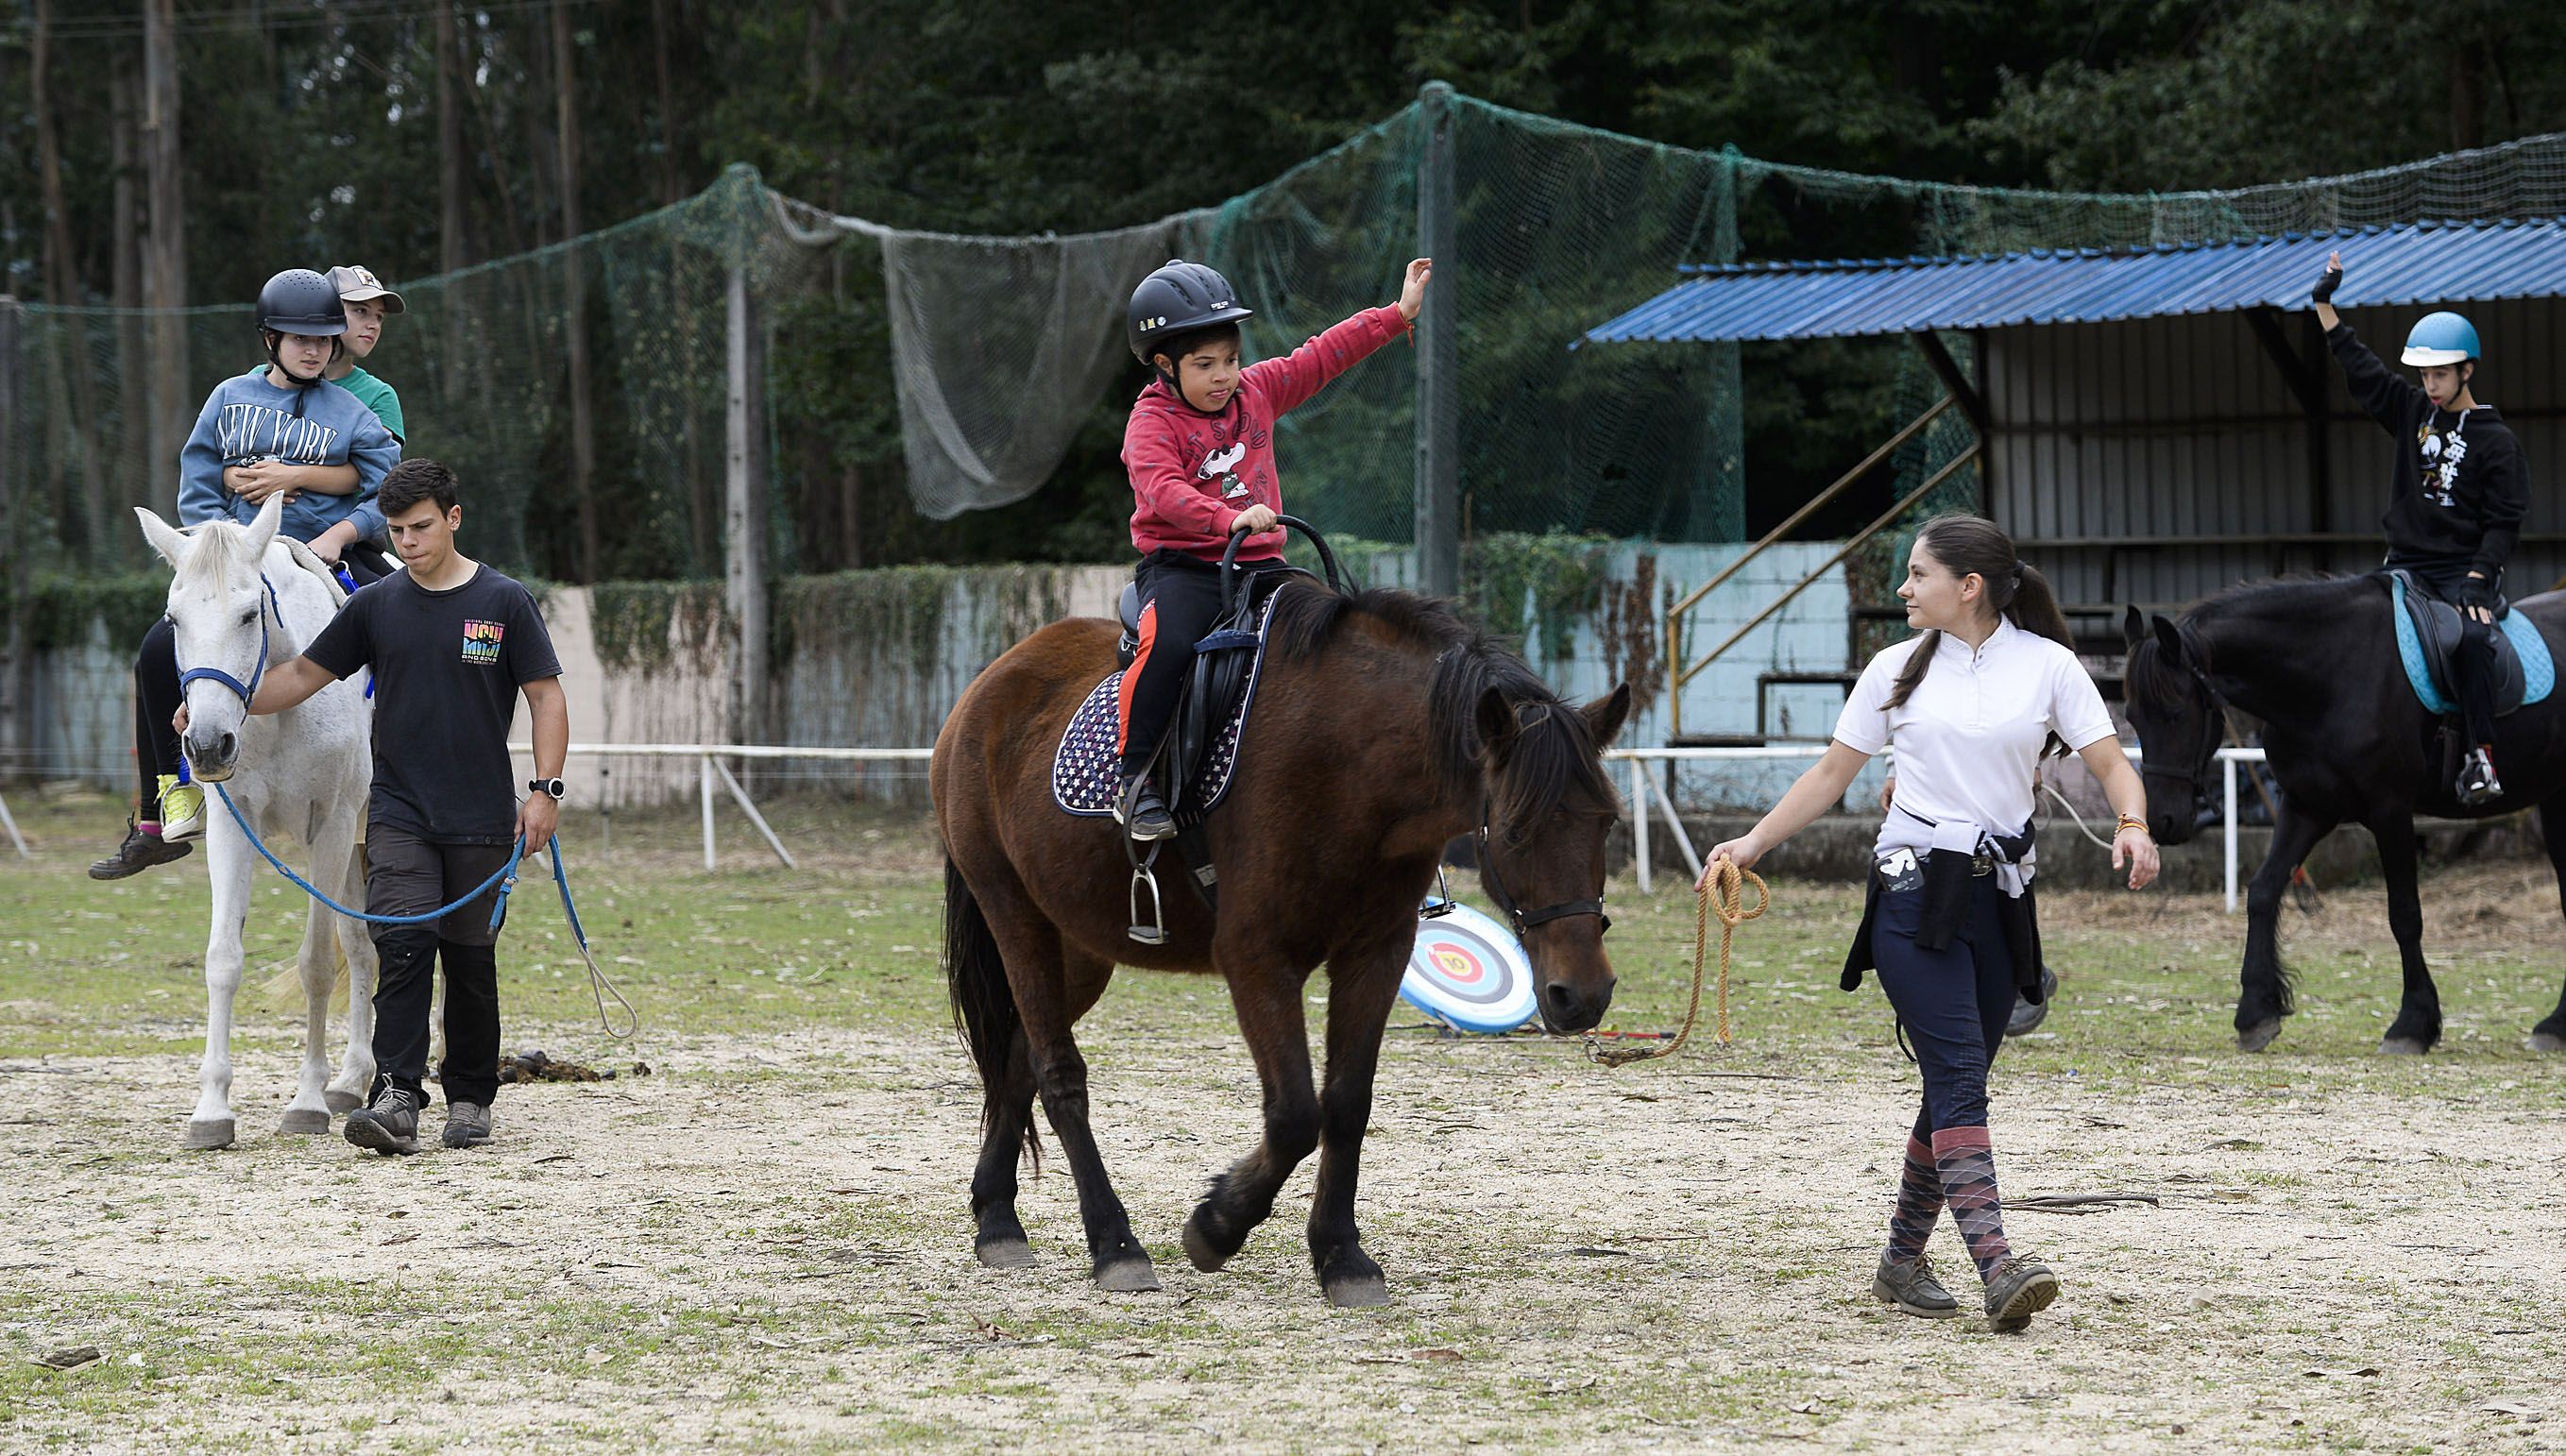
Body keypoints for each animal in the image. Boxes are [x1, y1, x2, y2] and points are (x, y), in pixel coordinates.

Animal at [138, 497, 380, 1148]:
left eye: (249, 615)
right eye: (173, 619)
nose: (206, 744)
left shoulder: (331, 827)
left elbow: (316, 964)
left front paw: (307, 1102)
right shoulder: (233, 827)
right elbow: (223, 959)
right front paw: (211, 1111)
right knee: (366, 949)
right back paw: (353, 1080)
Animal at [939, 579, 1622, 1307]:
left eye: (1607, 822)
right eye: (1516, 829)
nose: (1582, 994)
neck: (1349, 761)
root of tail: (989, 683)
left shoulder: (1375, 954)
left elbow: (1346, 1105)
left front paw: (1341, 1255)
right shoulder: (1258, 958)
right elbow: (1296, 1114)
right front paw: (1217, 1226)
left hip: (1079, 947)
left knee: (1017, 1055)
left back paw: (998, 1219)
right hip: (1015, 916)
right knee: (1058, 1074)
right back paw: (1115, 1245)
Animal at [2124, 582, 2566, 1056]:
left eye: (2175, 713)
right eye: (2132, 717)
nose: (2163, 821)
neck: (2329, 676)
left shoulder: (2390, 811)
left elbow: (2404, 914)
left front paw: (2412, 1024)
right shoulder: (2306, 808)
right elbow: (2262, 892)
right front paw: (2256, 1012)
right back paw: (2556, 1025)